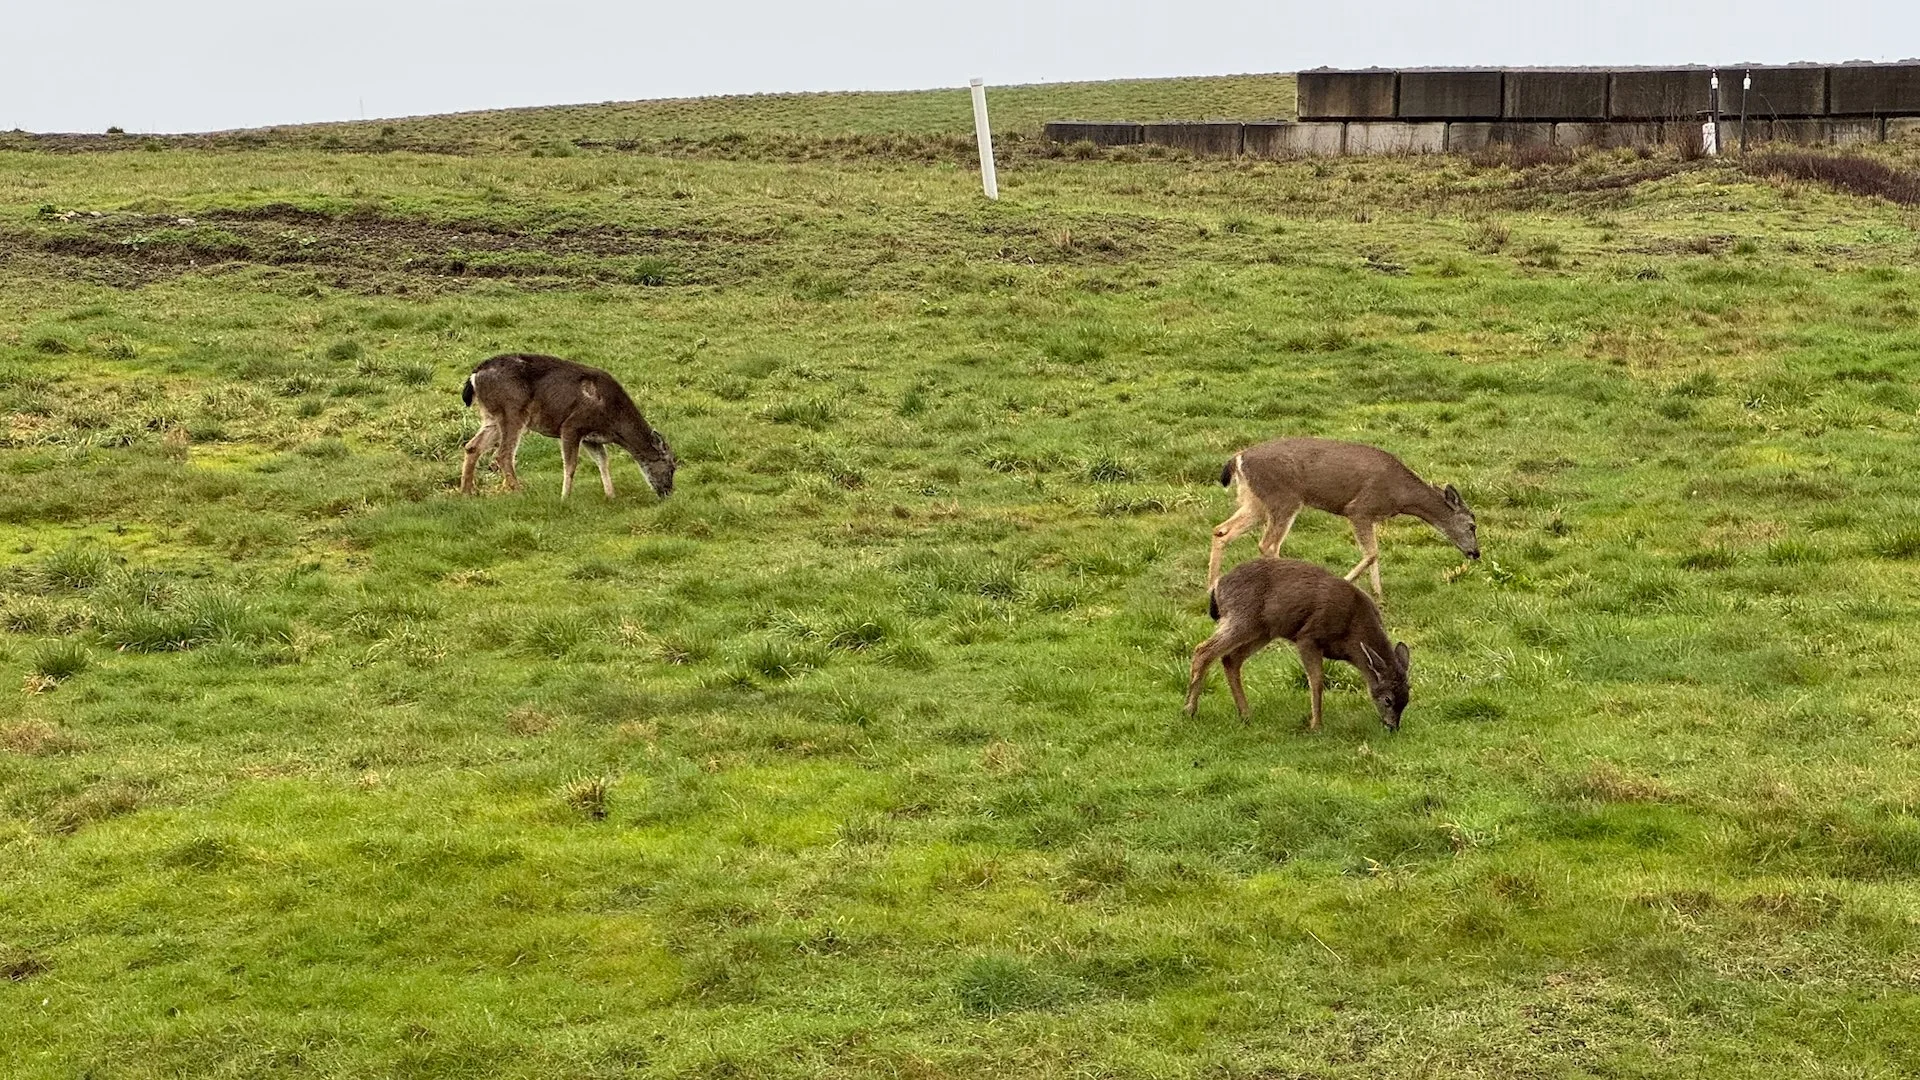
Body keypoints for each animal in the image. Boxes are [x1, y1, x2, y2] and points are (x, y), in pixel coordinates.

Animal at [460, 353, 676, 499]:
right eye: (672, 467)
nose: (668, 492)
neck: (613, 421)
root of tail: (474, 376)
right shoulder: (572, 425)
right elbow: (571, 464)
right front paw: (565, 497)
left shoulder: (591, 438)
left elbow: (603, 461)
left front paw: (610, 495)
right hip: (512, 410)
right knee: (503, 454)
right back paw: (520, 491)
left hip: (491, 417)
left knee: (472, 446)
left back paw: (467, 492)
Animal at [1185, 557, 1411, 731]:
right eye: (1388, 699)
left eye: (1407, 698)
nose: (1393, 727)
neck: (1352, 633)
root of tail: (1217, 587)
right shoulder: (1308, 637)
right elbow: (1317, 681)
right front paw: (1316, 725)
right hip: (1242, 617)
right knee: (1203, 650)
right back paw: (1189, 710)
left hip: (1263, 630)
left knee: (1230, 658)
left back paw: (1245, 714)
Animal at [1209, 436, 1478, 599]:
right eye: (1472, 525)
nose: (1476, 553)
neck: (1401, 495)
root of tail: (1237, 458)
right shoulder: (1359, 509)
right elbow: (1371, 553)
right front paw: (1348, 581)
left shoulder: (1370, 516)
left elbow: (1374, 553)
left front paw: (1378, 593)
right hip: (1283, 498)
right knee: (1268, 544)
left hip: (1255, 501)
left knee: (1221, 530)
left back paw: (1211, 586)